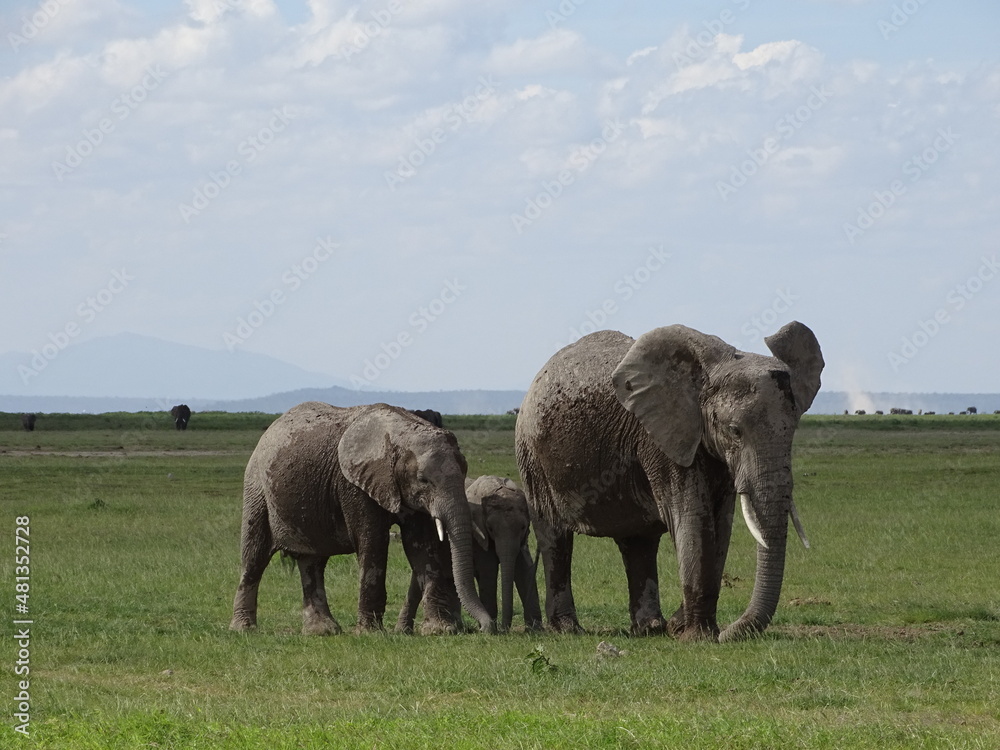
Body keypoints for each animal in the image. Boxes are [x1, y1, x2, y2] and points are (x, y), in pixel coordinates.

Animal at [227, 402, 492, 636]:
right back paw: (244, 629)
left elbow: (422, 546)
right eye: (423, 479)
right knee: (255, 557)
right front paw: (371, 633)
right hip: (256, 486)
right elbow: (372, 542)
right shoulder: (353, 484)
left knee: (313, 563)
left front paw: (439, 630)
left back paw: (322, 632)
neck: (401, 432)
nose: (484, 628)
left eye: (465, 470)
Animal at [512, 320, 824, 644]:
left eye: (793, 429)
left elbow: (720, 525)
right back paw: (568, 629)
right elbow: (693, 518)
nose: (729, 633)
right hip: (532, 454)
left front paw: (685, 628)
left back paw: (650, 628)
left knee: (638, 540)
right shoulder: (661, 439)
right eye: (735, 431)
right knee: (555, 537)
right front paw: (698, 637)